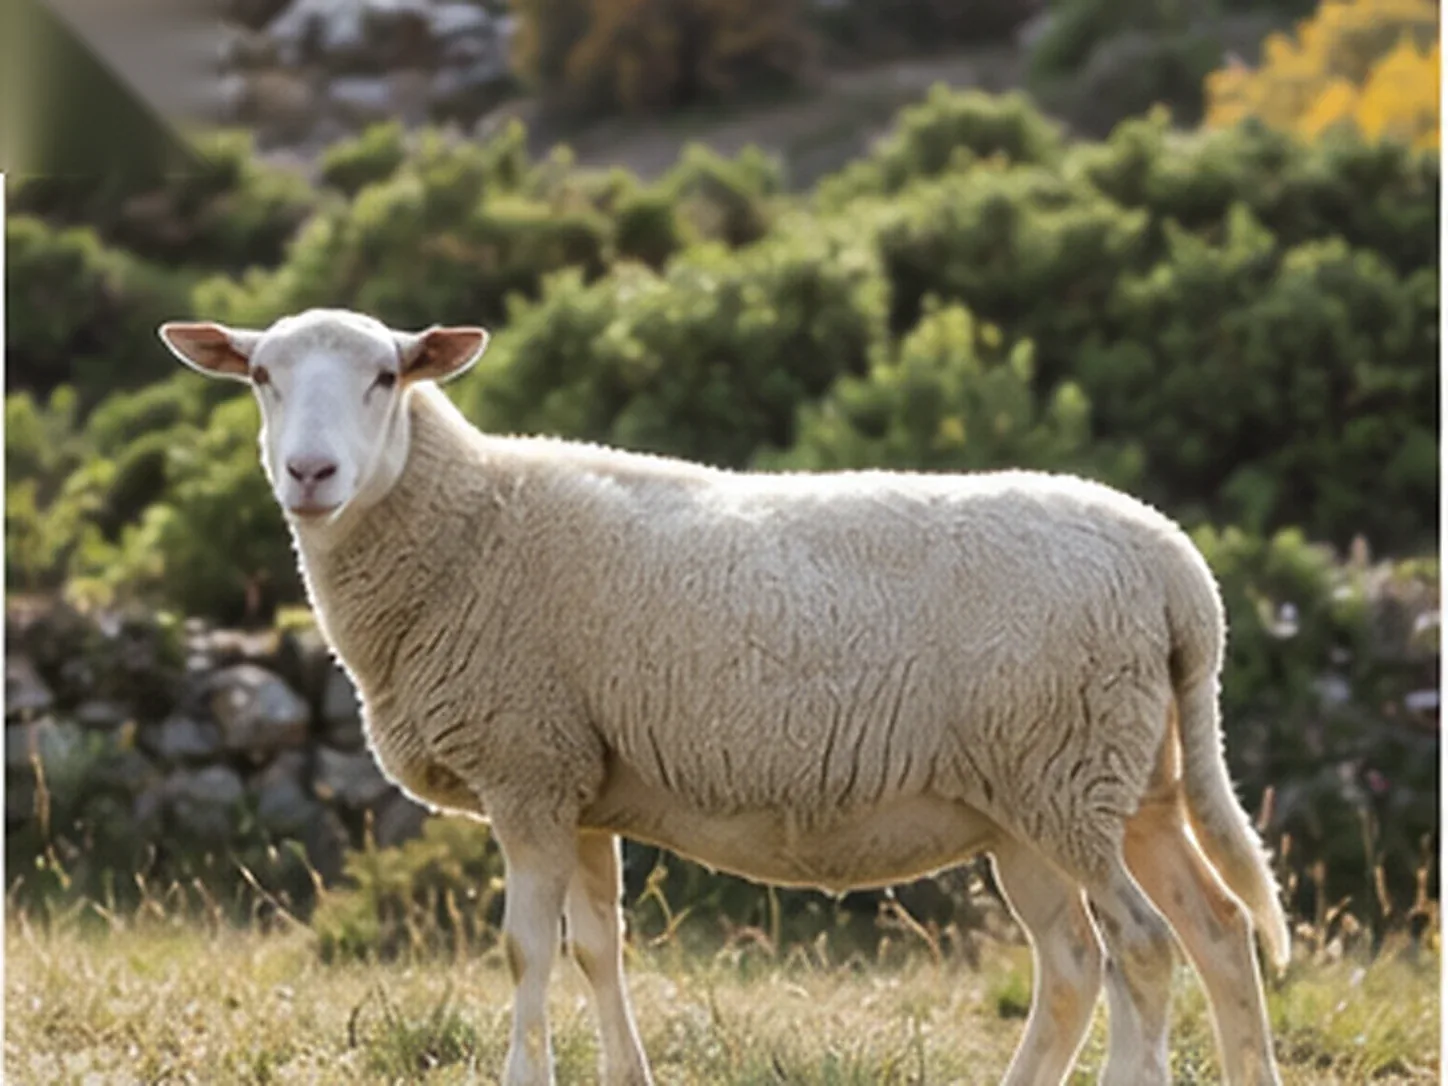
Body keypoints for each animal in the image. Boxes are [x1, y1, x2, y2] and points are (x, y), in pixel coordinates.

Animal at [159, 306, 1289, 1086]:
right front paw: (627, 1077)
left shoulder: (527, 766)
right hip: (1096, 786)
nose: (310, 473)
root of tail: (1173, 565)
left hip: (1064, 770)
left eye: (387, 376)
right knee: (1182, 937)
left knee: (1140, 948)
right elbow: (596, 948)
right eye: (259, 375)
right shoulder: (579, 781)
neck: (470, 523)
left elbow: (525, 950)